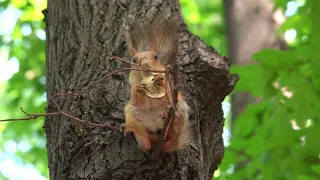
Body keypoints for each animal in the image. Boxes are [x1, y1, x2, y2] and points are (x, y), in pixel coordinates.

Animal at [121, 19, 189, 153]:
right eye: (134, 60)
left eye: (156, 57)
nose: (145, 65)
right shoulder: (133, 87)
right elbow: (136, 99)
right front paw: (139, 90)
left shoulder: (169, 88)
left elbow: (167, 91)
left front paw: (159, 81)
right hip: (132, 116)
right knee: (147, 140)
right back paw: (139, 137)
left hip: (180, 110)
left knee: (172, 131)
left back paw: (168, 118)